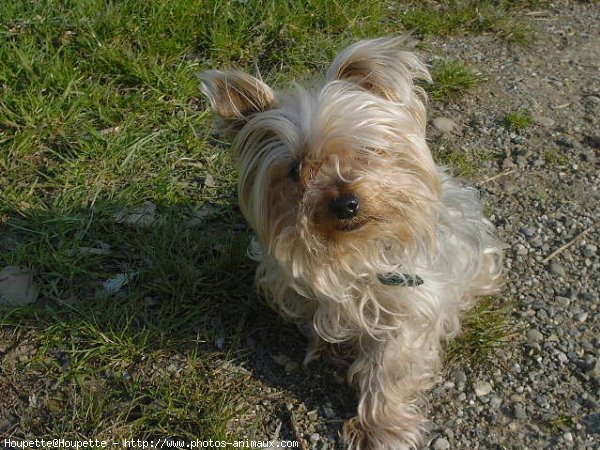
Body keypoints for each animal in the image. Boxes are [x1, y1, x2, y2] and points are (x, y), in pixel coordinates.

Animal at [200, 37, 502, 450]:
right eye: (295, 169)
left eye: (365, 150)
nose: (345, 204)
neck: (352, 252)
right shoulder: (297, 288)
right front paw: (331, 350)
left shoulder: (409, 306)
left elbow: (390, 368)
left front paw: (380, 427)